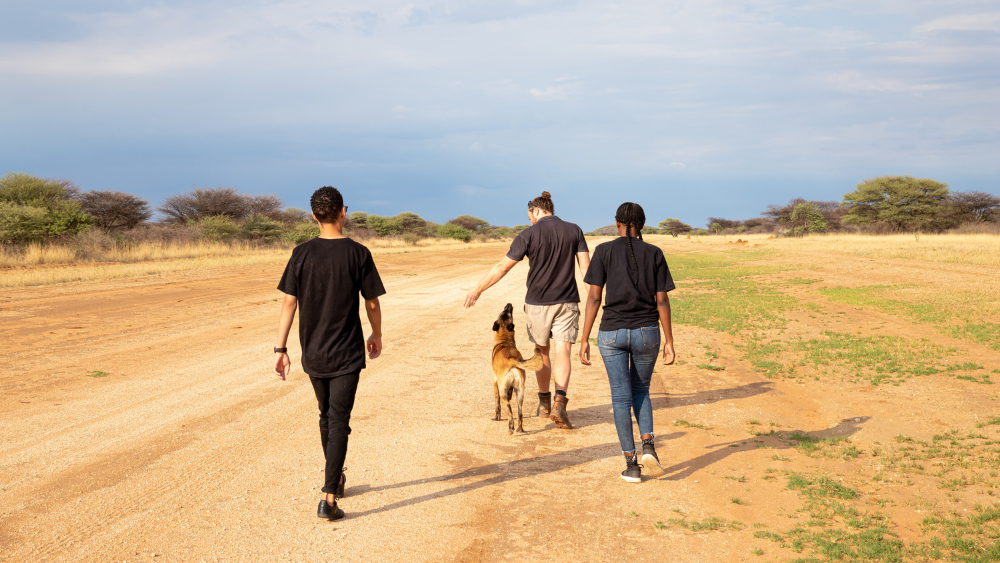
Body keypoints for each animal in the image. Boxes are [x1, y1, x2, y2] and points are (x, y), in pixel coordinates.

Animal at [490, 302, 544, 434]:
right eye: (503, 313)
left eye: (508, 314)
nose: (508, 304)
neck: (505, 342)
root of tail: (512, 360)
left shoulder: (495, 382)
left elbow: (497, 403)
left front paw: (497, 417)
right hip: (520, 393)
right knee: (520, 412)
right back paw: (520, 429)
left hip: (504, 392)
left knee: (509, 409)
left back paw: (511, 427)